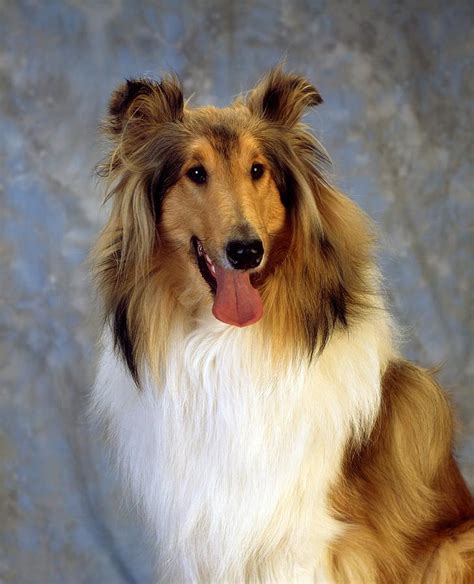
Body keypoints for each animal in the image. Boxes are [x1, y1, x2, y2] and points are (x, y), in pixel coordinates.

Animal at [90, 67, 474, 580]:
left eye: (258, 170)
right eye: (196, 173)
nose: (246, 250)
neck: (223, 344)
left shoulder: (305, 539)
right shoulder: (203, 539)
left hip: (453, 549)